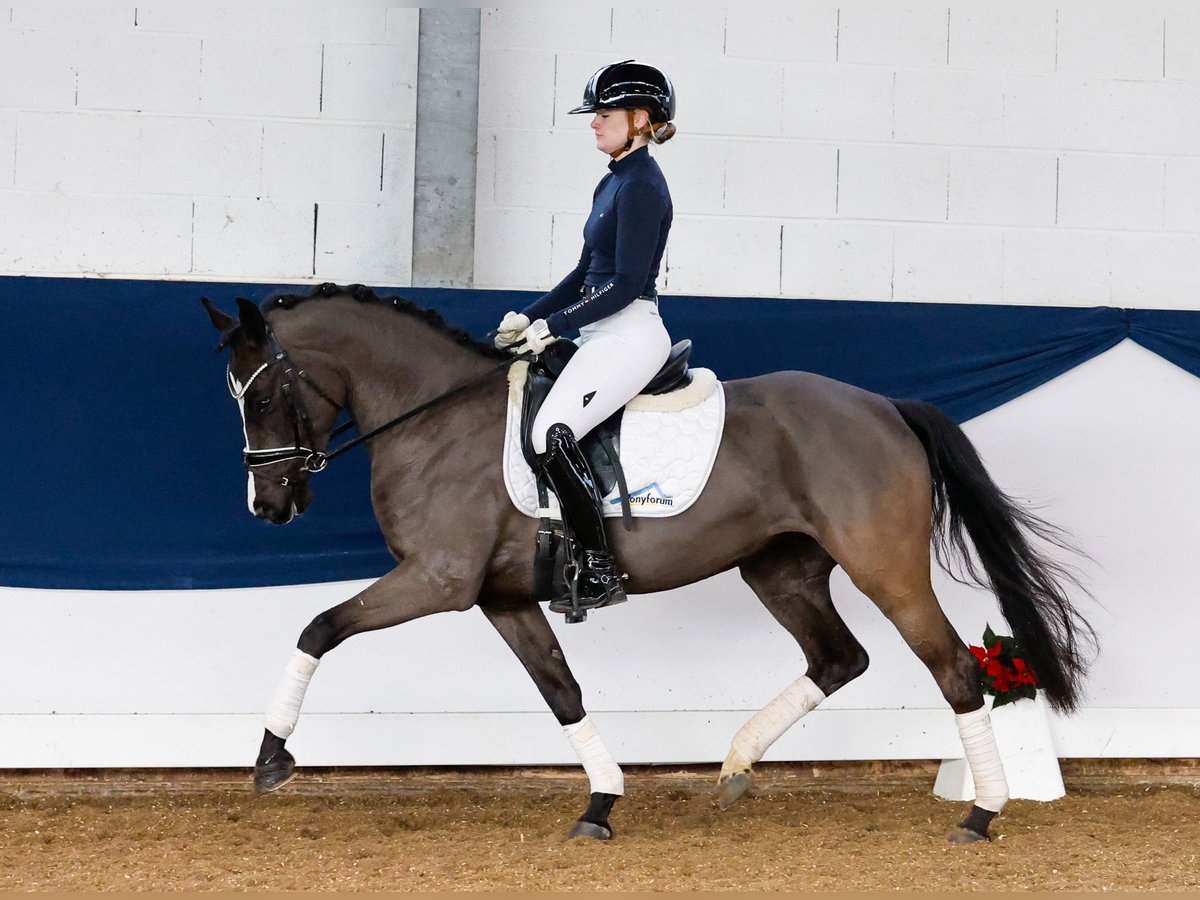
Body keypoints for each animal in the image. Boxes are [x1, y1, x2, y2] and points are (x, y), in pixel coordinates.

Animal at [201, 283, 1094, 844]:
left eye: (263, 395)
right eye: (237, 397)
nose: (268, 507)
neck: (434, 418)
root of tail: (882, 406)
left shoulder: (438, 580)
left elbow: (319, 627)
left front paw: (272, 759)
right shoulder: (501, 597)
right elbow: (561, 692)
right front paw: (601, 802)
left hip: (887, 569)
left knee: (954, 668)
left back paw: (980, 815)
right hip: (780, 569)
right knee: (840, 657)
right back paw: (735, 765)